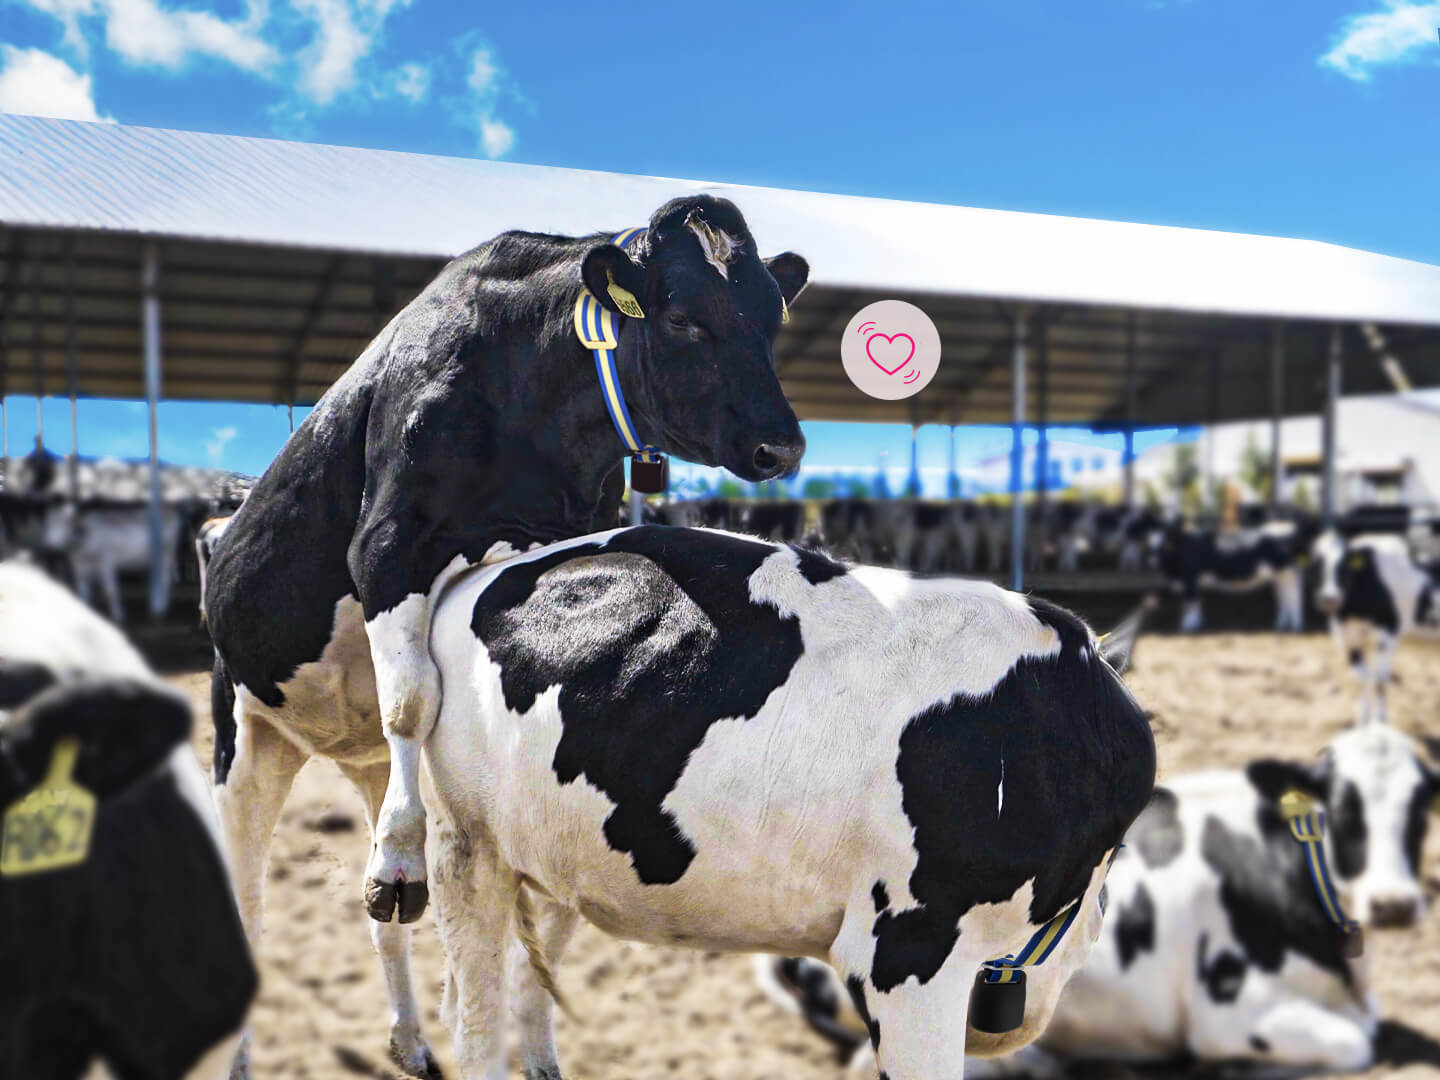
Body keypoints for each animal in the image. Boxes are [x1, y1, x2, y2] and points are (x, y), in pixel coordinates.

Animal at [202, 195, 810, 1077]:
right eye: (685, 319)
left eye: (772, 319)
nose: (782, 444)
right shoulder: (386, 548)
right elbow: (411, 699)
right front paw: (404, 866)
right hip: (244, 732)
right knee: (247, 898)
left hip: (358, 760)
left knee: (378, 884)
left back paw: (410, 1034)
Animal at [1156, 523, 1305, 632]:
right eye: (1151, 541)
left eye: (1166, 543)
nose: (1154, 558)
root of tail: (1282, 526)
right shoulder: (1193, 582)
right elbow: (1196, 603)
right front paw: (1196, 623)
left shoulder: (1190, 578)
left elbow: (1190, 604)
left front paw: (1188, 626)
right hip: (1280, 575)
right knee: (1284, 596)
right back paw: (1282, 624)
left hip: (1287, 571)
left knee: (1293, 595)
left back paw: (1296, 626)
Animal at [1314, 531, 1440, 725]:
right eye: (1318, 565)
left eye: (1345, 567)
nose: (1329, 598)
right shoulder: (1349, 638)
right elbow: (1362, 678)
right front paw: (1363, 722)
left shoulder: (1387, 633)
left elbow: (1380, 680)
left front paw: (1381, 722)